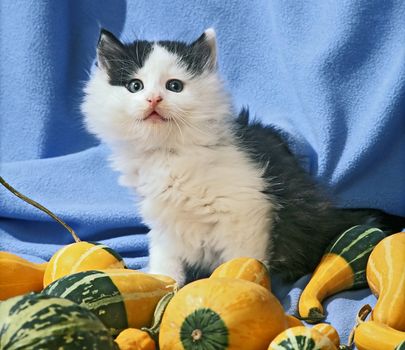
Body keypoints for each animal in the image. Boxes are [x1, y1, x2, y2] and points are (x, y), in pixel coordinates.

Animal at [81, 27, 400, 284]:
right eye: (135, 86)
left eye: (174, 86)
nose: (153, 99)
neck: (169, 154)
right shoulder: (163, 221)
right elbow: (164, 261)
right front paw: (162, 288)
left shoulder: (247, 211)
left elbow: (242, 261)